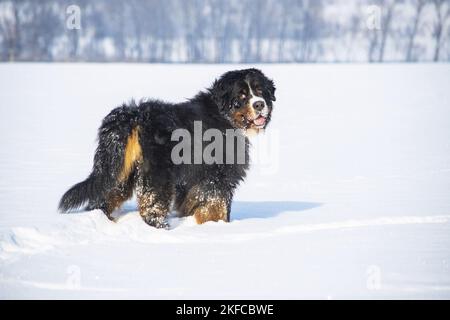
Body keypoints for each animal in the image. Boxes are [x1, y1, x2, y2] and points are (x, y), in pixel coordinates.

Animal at [59, 68, 278, 228]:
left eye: (260, 91)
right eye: (241, 96)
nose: (259, 104)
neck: (223, 116)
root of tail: (134, 115)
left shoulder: (192, 182)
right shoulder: (217, 178)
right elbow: (217, 208)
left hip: (120, 172)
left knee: (103, 198)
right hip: (158, 176)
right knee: (151, 209)